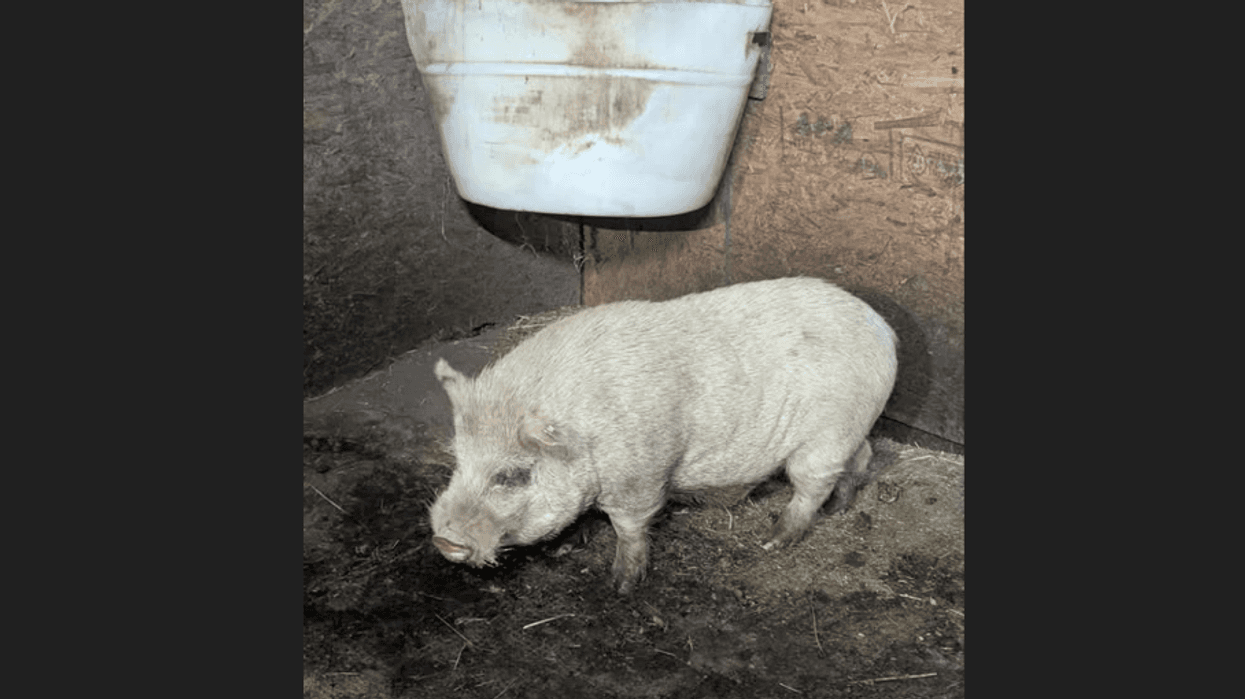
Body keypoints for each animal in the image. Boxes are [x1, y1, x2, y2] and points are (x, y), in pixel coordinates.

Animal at [429, 277, 898, 594]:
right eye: (459, 461)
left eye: (513, 475)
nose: (443, 540)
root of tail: (884, 331)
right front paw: (569, 547)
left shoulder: (640, 475)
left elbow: (629, 527)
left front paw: (620, 585)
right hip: (851, 429)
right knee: (861, 458)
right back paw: (839, 508)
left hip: (825, 435)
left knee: (811, 487)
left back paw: (773, 541)